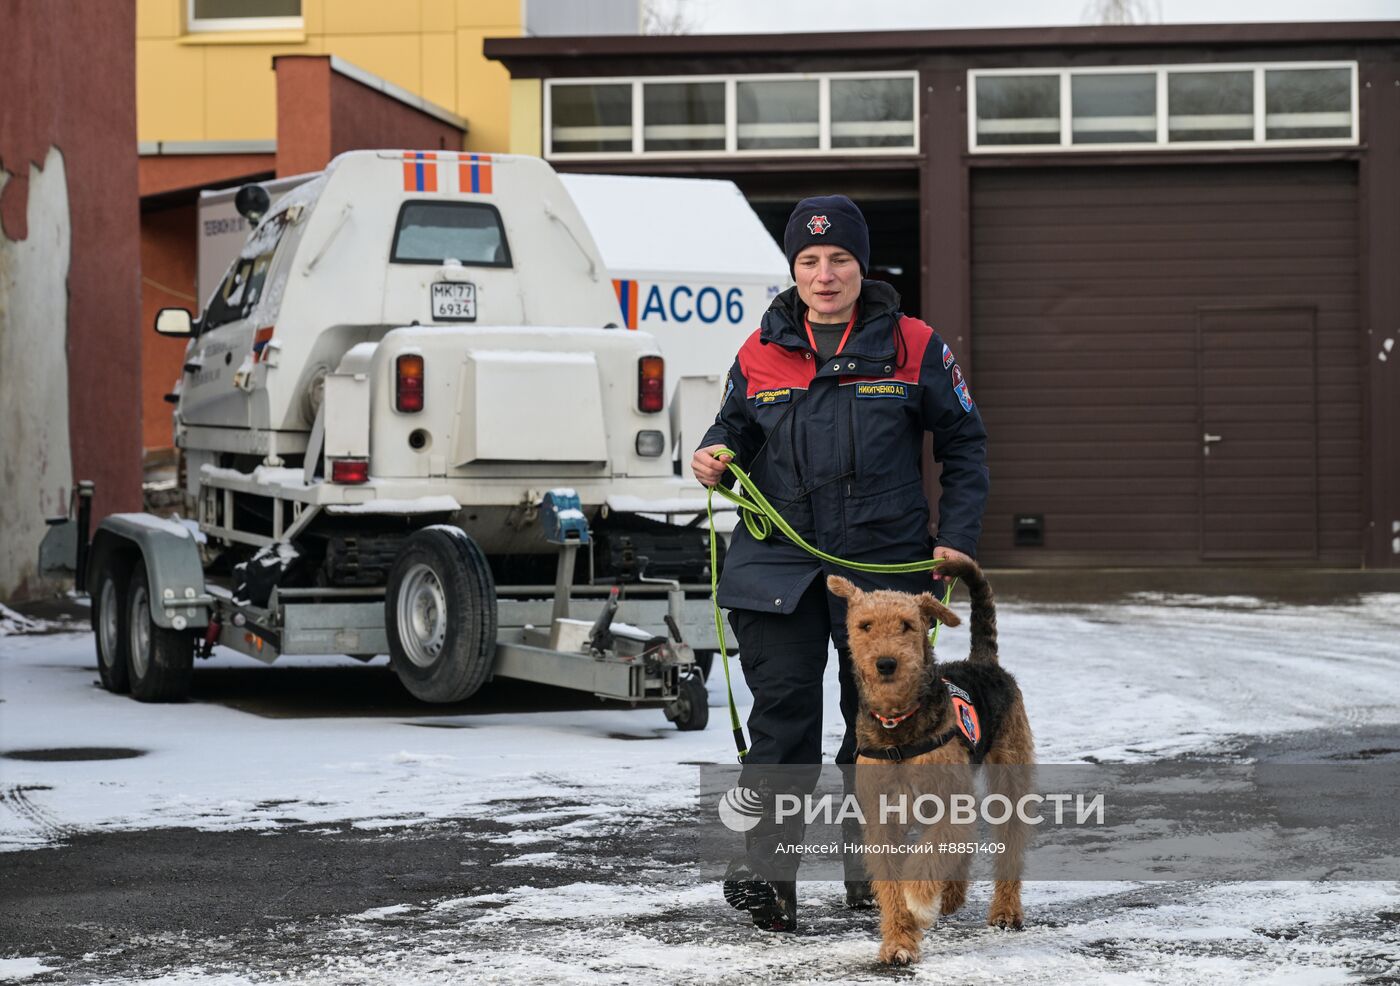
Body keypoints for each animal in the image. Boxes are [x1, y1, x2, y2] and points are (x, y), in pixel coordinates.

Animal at [823, 557, 1036, 969]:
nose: (886, 664)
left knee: (1008, 845)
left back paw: (1005, 911)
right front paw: (898, 942)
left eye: (907, 624)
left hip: (1009, 779)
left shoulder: (948, 802)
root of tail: (982, 661)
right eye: (865, 625)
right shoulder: (882, 818)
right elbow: (893, 881)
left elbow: (926, 859)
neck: (898, 727)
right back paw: (952, 895)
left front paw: (919, 903)